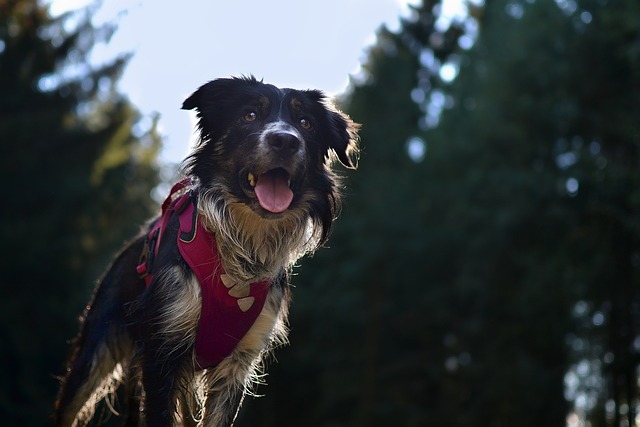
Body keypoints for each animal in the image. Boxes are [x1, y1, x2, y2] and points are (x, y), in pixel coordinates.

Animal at [52, 77, 358, 427]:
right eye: (249, 116)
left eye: (306, 123)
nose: (285, 141)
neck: (244, 246)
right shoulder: (161, 354)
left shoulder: (239, 362)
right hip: (94, 350)